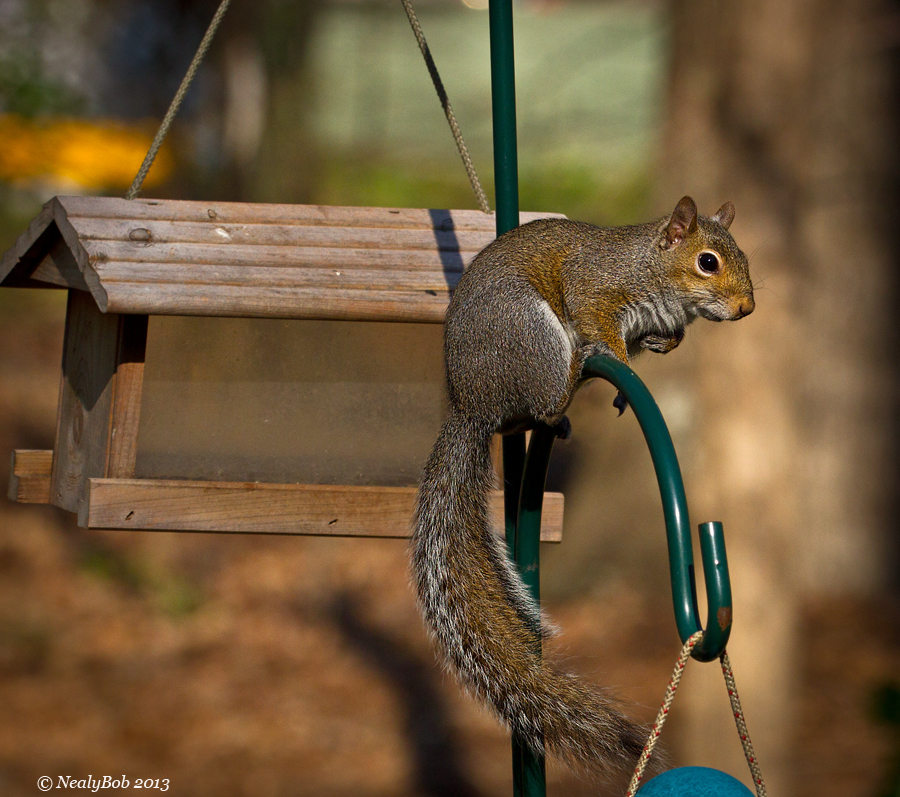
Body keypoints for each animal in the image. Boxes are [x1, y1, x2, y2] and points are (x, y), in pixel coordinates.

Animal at [412, 196, 756, 776]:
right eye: (707, 263)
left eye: (744, 257)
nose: (747, 308)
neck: (649, 268)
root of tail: (473, 405)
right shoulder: (597, 287)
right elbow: (600, 321)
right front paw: (614, 356)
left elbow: (664, 340)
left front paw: (661, 348)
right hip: (529, 332)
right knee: (546, 395)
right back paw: (570, 379)